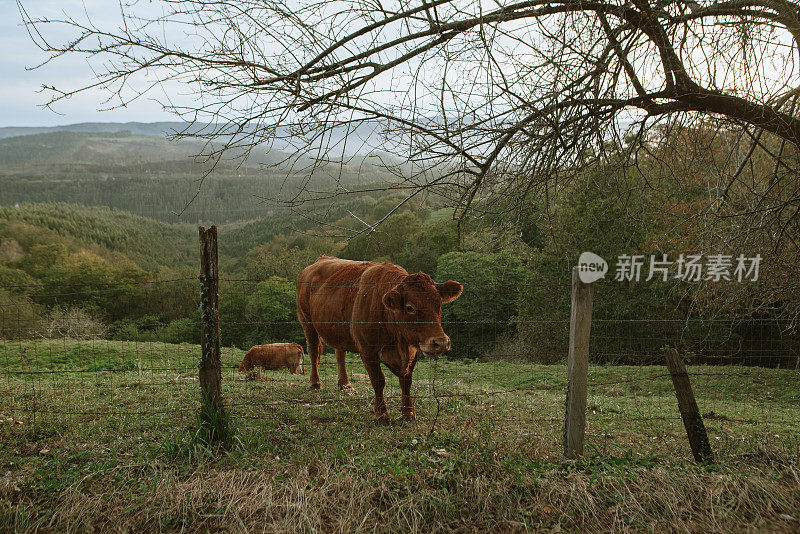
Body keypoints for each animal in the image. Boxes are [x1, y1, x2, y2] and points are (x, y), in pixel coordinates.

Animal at [296, 255, 462, 422]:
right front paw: (381, 414)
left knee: (340, 354)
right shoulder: (367, 350)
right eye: (410, 307)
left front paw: (408, 412)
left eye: (439, 303)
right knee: (313, 350)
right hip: (306, 321)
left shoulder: (415, 349)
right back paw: (315, 382)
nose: (441, 342)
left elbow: (406, 381)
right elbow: (378, 381)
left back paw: (345, 385)